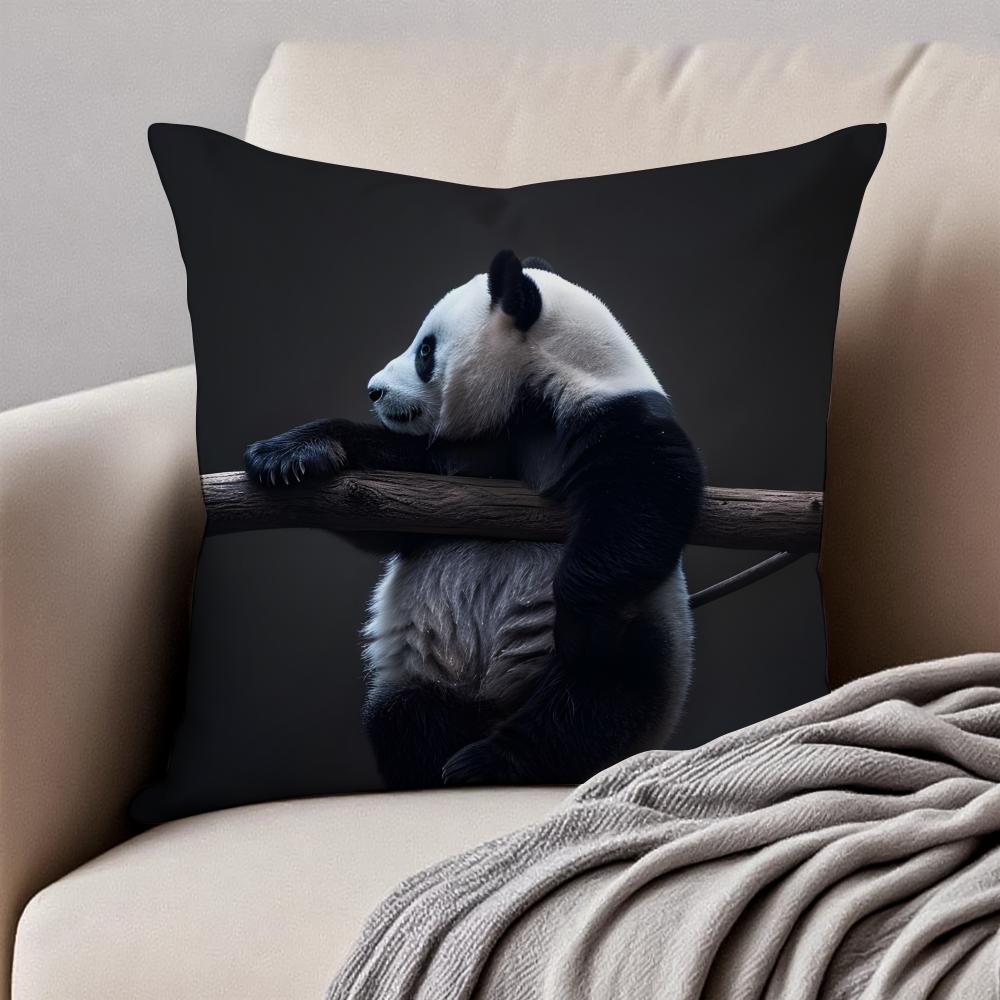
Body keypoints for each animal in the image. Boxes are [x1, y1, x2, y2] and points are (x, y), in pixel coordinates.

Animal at [245, 250, 704, 789]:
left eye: (425, 351)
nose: (374, 391)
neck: (537, 389)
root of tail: (493, 702)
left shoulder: (616, 418)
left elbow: (642, 503)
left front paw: (578, 622)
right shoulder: (469, 456)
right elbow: (392, 503)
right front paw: (290, 455)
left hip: (652, 634)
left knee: (599, 701)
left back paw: (493, 760)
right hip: (422, 679)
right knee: (401, 715)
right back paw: (434, 764)